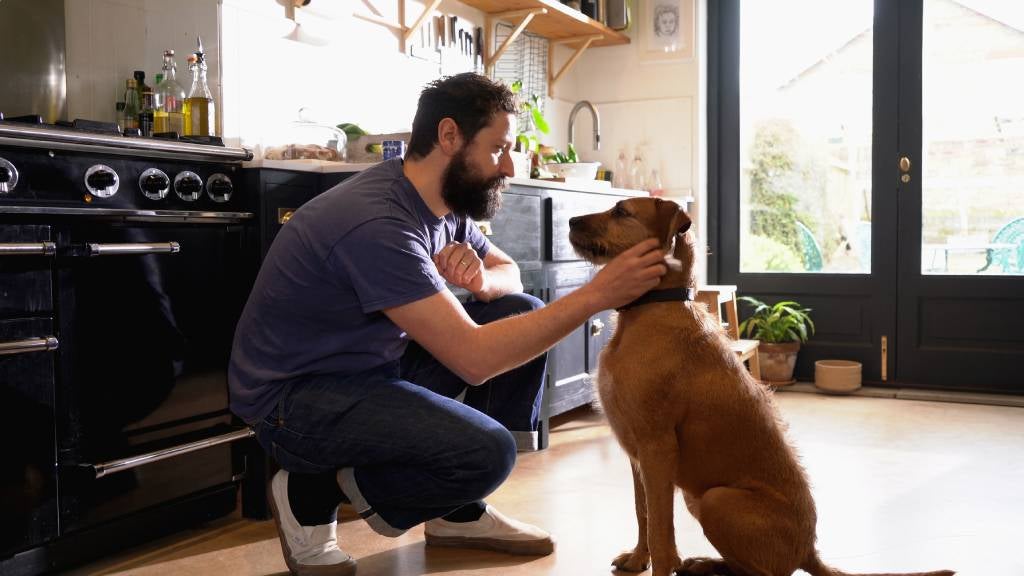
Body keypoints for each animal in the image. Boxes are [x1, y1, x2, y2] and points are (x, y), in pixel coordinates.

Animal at [569, 198, 950, 573]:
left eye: (621, 211)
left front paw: (659, 564)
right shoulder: (638, 455)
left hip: (716, 499)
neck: (651, 309)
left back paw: (705, 564)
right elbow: (643, 513)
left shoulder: (657, 448)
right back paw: (703, 563)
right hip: (697, 495)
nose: (571, 220)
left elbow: (661, 533)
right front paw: (637, 559)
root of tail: (807, 551)